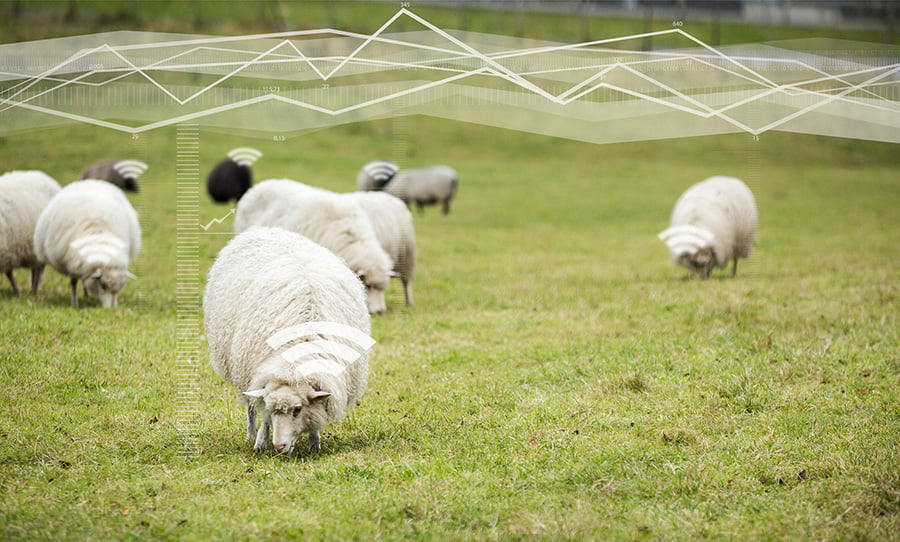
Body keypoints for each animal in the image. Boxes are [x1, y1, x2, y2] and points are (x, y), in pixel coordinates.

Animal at [33, 178, 141, 306]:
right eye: (103, 285)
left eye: (121, 286)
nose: (112, 308)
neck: (98, 238)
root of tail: (89, 181)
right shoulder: (71, 262)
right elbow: (73, 282)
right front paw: (74, 303)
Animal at [204, 227, 372, 456]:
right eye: (275, 410)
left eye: (298, 409)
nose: (280, 446)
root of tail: (264, 229)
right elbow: (264, 415)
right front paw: (260, 442)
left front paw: (314, 442)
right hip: (242, 371)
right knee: (250, 406)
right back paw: (251, 434)